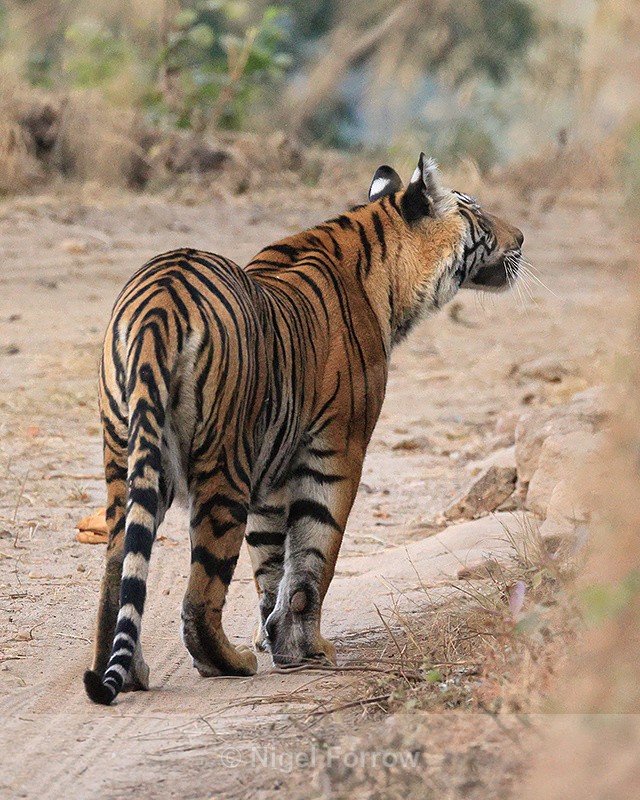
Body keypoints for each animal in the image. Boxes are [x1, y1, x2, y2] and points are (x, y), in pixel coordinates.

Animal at [83, 153, 523, 705]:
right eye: (479, 214)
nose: (522, 236)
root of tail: (162, 302)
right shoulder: (337, 452)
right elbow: (314, 556)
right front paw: (304, 648)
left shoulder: (272, 471)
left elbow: (271, 563)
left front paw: (274, 638)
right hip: (223, 470)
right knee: (199, 596)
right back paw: (229, 663)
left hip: (127, 456)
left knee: (116, 568)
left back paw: (127, 671)